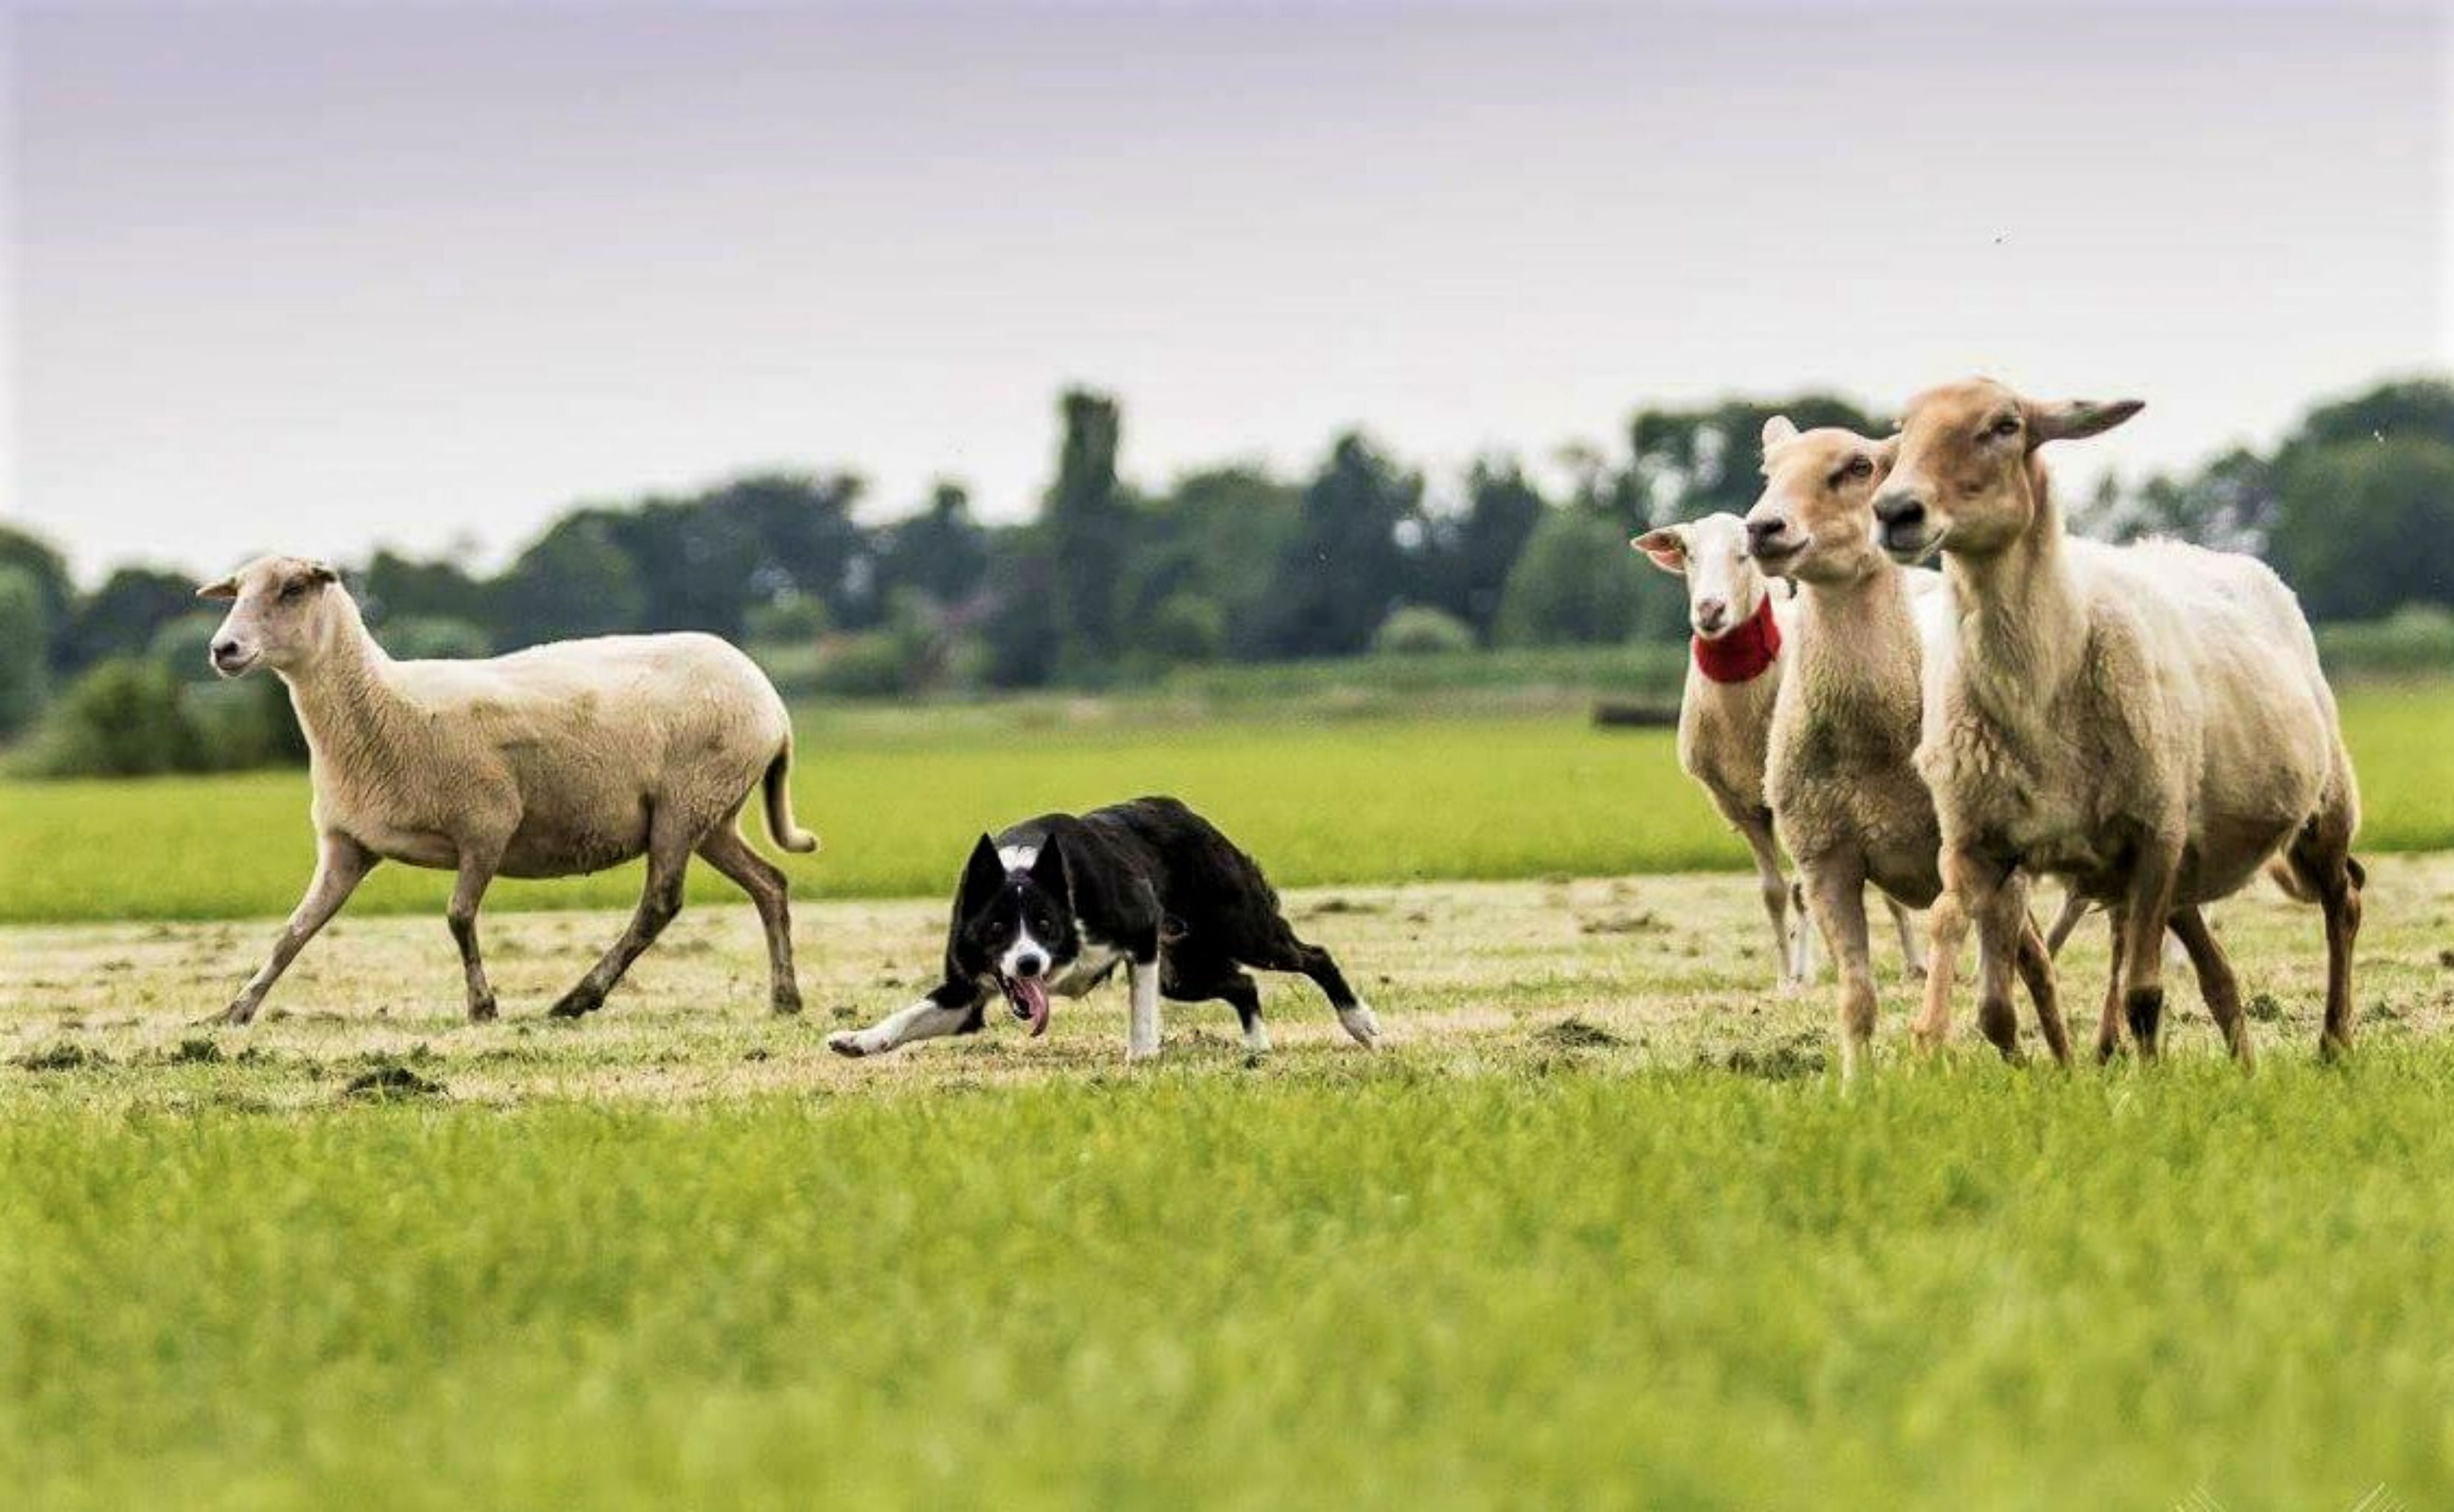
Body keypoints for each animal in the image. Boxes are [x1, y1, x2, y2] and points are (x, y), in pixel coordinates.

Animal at [194, 555, 824, 1026]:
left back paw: (578, 998)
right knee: (770, 884)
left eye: (293, 588)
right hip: (712, 815)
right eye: (237, 592)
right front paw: (234, 1011)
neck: (383, 703)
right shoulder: (347, 846)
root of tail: (768, 696)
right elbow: (293, 932)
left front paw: (482, 1007)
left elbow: (458, 917)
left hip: (684, 803)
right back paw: (785, 998)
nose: (223, 650)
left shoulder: (487, 825)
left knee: (661, 904)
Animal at [824, 795, 1384, 1055]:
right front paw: (859, 1041)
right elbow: (907, 1017)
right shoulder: (966, 993)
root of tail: (1185, 811)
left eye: (1046, 924)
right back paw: (1258, 1047)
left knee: (1313, 957)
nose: (1029, 964)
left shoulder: (1141, 938)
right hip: (1184, 973)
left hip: (1242, 929)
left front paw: (1141, 1059)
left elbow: (1142, 1017)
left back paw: (1360, 1023)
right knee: (1243, 984)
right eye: (997, 928)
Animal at [1737, 412, 2061, 1075]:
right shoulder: (1826, 863)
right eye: (1769, 471)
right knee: (2030, 958)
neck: (1870, 744)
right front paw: (1856, 1088)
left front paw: (1942, 1048)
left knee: (2033, 969)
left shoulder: (1979, 858)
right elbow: (1857, 1002)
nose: (1762, 528)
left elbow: (1990, 998)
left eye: (1860, 467)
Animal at [1865, 378, 2365, 1065]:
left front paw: (2144, 1080)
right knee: (2219, 972)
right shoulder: (1977, 843)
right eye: (1903, 429)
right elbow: (1977, 977)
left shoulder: (2155, 835)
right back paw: (2245, 1063)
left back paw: (2334, 1041)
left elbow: (2144, 994)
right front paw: (1946, 1041)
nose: (1894, 512)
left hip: (2320, 809)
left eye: (2005, 425)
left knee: (2344, 904)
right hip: (2185, 861)